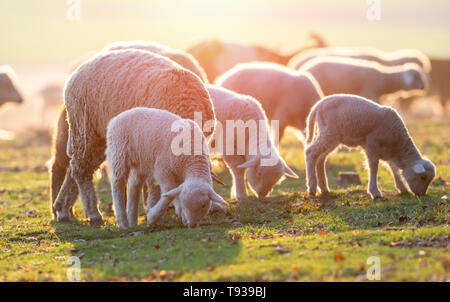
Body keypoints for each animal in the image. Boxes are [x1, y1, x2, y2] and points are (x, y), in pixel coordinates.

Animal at [52, 50, 214, 224]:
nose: (190, 223)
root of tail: (77, 71)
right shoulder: (154, 147)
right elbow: (154, 184)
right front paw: (153, 210)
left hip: (97, 137)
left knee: (74, 168)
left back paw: (62, 208)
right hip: (85, 129)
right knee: (80, 169)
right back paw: (92, 212)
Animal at [304, 93, 434, 199]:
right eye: (423, 177)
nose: (421, 194)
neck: (398, 143)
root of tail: (317, 105)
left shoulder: (388, 151)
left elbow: (393, 168)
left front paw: (402, 188)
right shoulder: (372, 144)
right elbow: (374, 167)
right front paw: (374, 192)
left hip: (331, 136)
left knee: (320, 158)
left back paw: (324, 188)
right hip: (329, 132)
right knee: (310, 152)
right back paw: (312, 188)